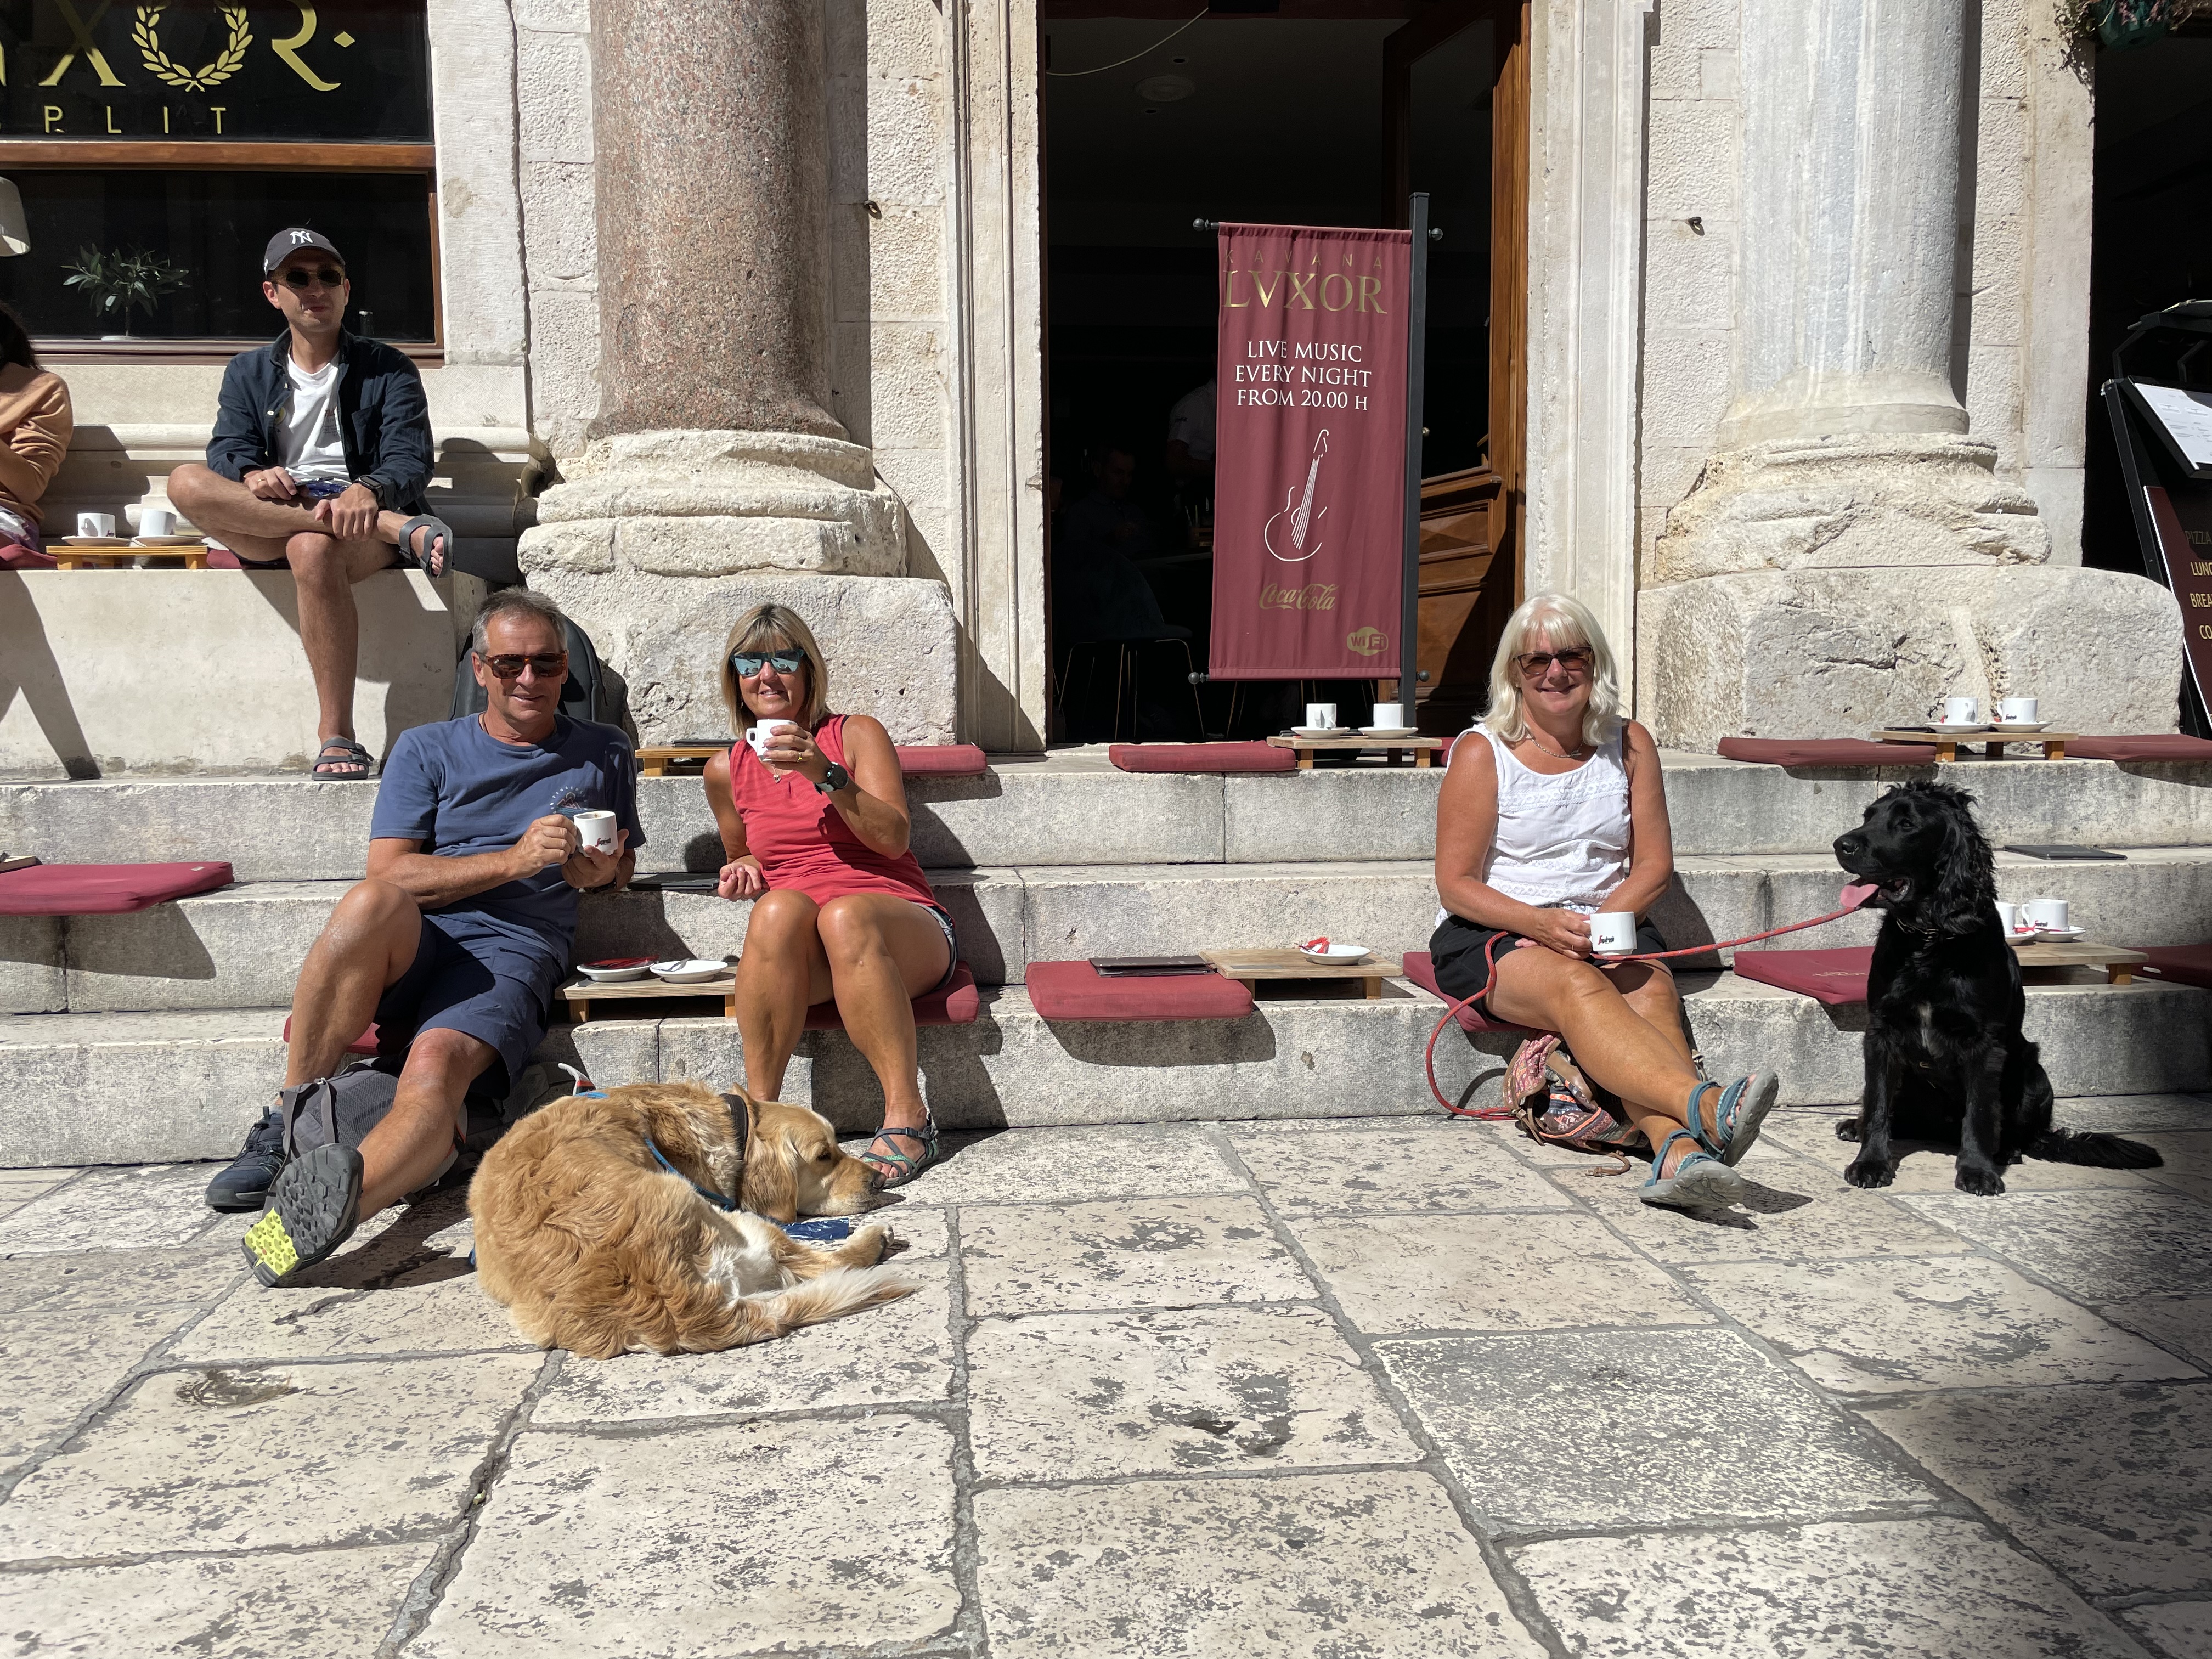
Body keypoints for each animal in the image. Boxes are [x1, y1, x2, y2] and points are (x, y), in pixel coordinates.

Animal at [469, 1080, 913, 1357]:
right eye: (825, 1155)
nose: (879, 1179)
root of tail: (681, 1300)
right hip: (738, 1221)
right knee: (828, 1262)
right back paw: (874, 1239)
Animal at [1831, 781, 2161, 1194]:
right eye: (1868, 816)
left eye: (1906, 824)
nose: (1841, 844)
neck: (1930, 939)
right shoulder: (1881, 1031)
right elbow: (1877, 1102)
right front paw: (1871, 1163)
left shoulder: (1984, 1042)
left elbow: (1980, 1112)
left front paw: (1977, 1170)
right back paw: (1855, 1126)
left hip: (2034, 1073)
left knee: (2019, 1132)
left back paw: (2007, 1151)